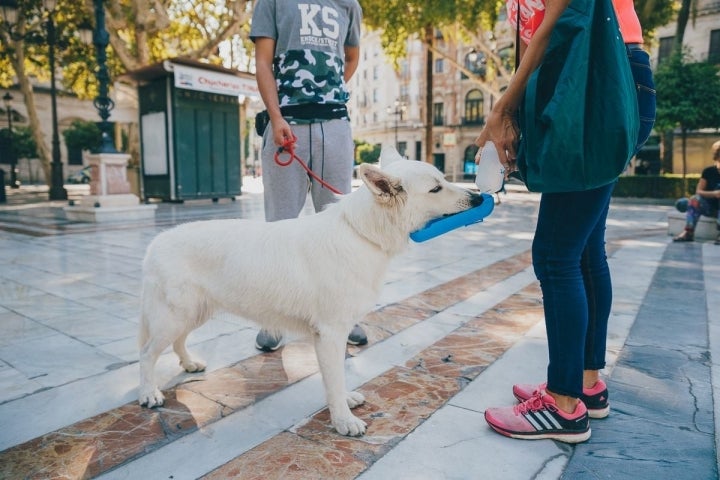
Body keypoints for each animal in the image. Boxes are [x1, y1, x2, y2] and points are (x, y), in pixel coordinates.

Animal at [138, 148, 486, 436]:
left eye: (444, 180)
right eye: (436, 188)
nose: (478, 198)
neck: (361, 233)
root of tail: (155, 243)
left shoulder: (336, 333)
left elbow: (339, 374)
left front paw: (344, 403)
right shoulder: (330, 333)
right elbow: (334, 378)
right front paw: (343, 421)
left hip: (193, 313)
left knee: (177, 342)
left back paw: (188, 364)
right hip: (175, 316)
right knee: (147, 354)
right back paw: (148, 392)